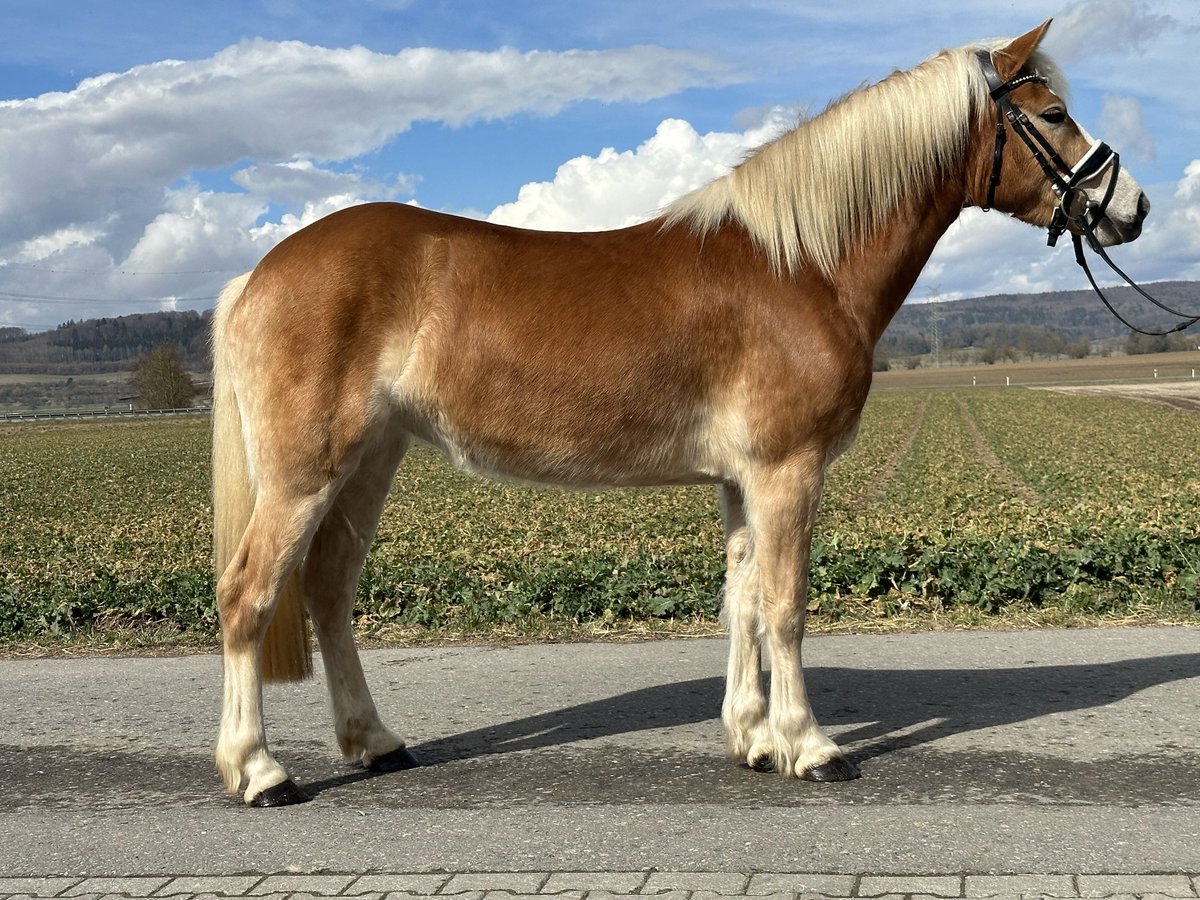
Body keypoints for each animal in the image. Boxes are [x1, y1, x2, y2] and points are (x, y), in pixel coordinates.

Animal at [216, 22, 1152, 811]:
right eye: (1055, 113)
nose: (1133, 207)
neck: (800, 265)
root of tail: (257, 276)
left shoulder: (743, 481)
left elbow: (742, 601)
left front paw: (754, 739)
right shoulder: (787, 470)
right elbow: (786, 604)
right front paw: (811, 746)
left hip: (370, 460)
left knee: (328, 589)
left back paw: (374, 742)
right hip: (306, 469)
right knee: (249, 593)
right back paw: (259, 770)